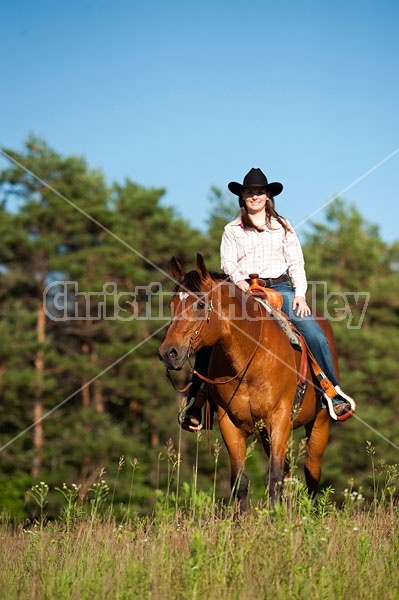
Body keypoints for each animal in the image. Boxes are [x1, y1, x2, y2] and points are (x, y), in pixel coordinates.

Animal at [158, 253, 336, 510]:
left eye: (200, 304)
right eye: (172, 304)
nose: (168, 353)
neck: (250, 359)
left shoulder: (280, 417)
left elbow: (274, 476)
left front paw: (274, 516)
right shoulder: (229, 422)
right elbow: (240, 481)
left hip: (319, 422)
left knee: (311, 470)